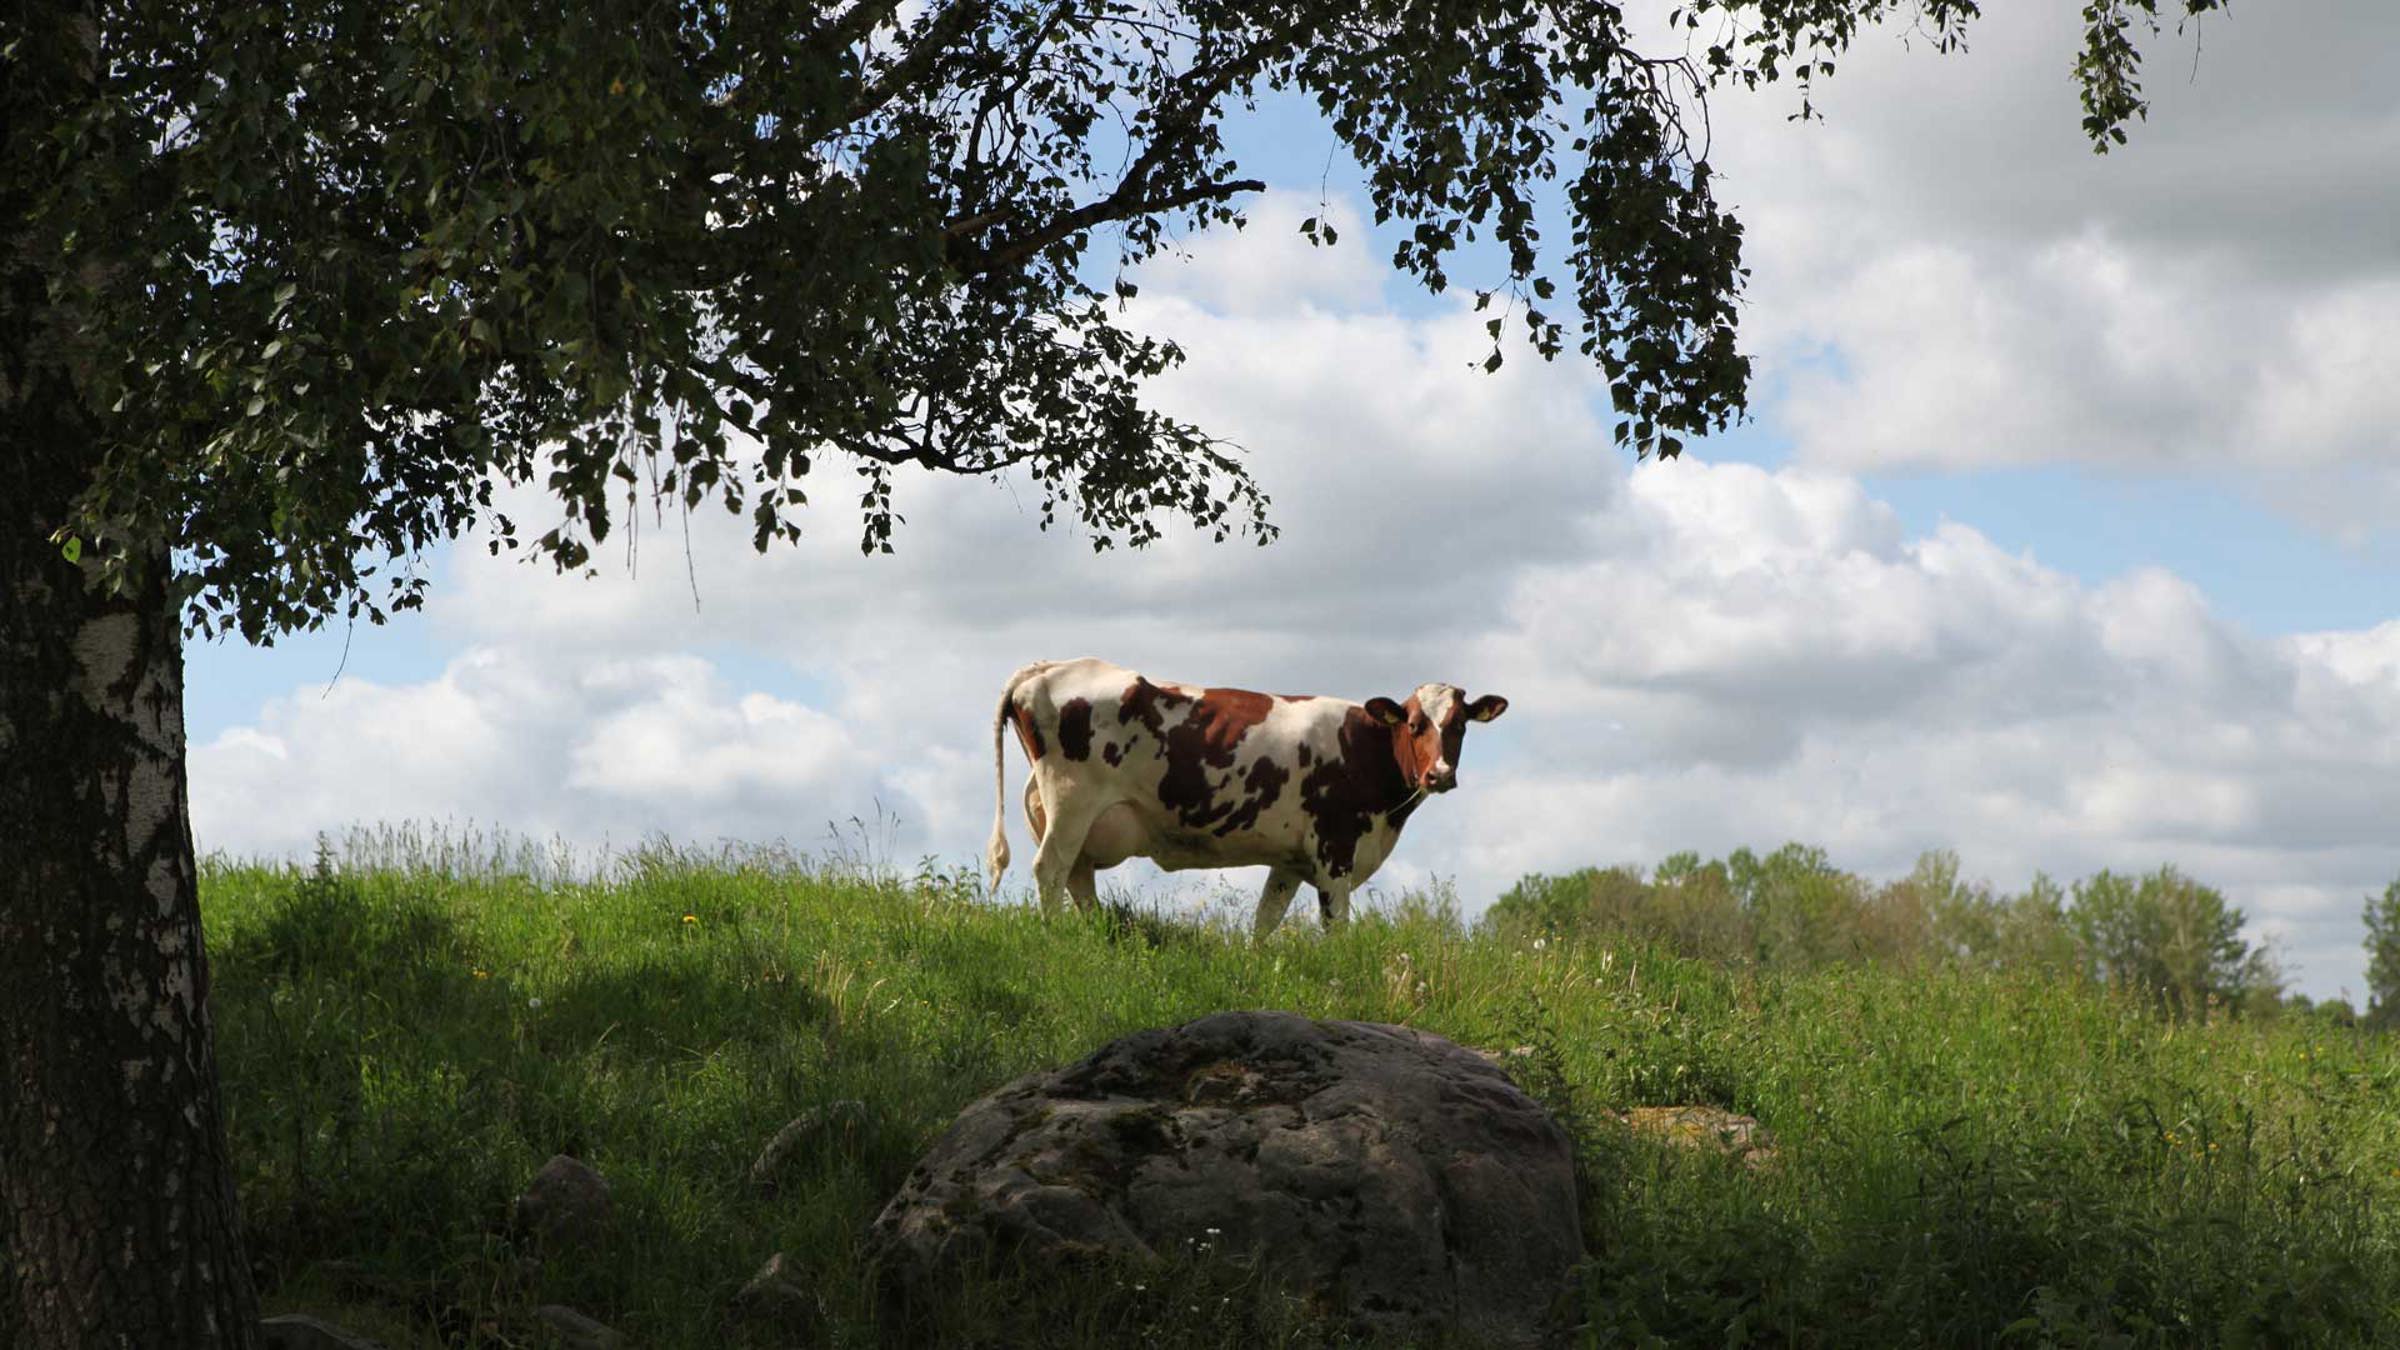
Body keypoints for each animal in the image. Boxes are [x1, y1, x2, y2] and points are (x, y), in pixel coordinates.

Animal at [974, 653, 1497, 936]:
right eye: (1415, 724)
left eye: (1459, 725)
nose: (1439, 774)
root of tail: (1051, 666)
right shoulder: (1335, 848)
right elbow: (1336, 928)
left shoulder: (1289, 862)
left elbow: (1264, 922)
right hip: (1072, 801)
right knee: (1051, 870)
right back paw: (1055, 937)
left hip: (1078, 815)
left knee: (1078, 878)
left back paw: (1094, 936)